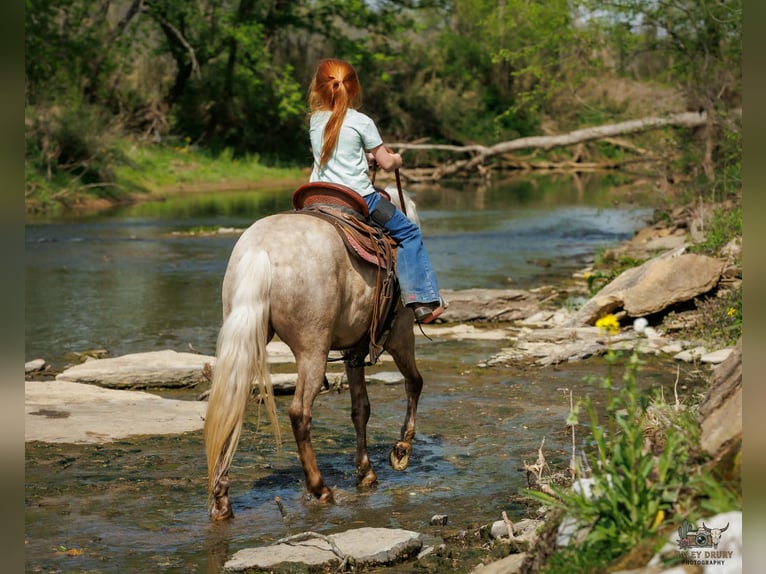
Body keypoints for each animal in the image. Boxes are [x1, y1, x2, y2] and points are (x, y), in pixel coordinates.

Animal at [203, 185, 425, 520]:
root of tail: (261, 250)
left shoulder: (352, 351)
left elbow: (361, 409)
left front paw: (366, 472)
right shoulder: (400, 335)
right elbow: (414, 383)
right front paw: (401, 450)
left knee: (231, 406)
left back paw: (221, 502)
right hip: (313, 349)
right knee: (299, 413)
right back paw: (320, 488)